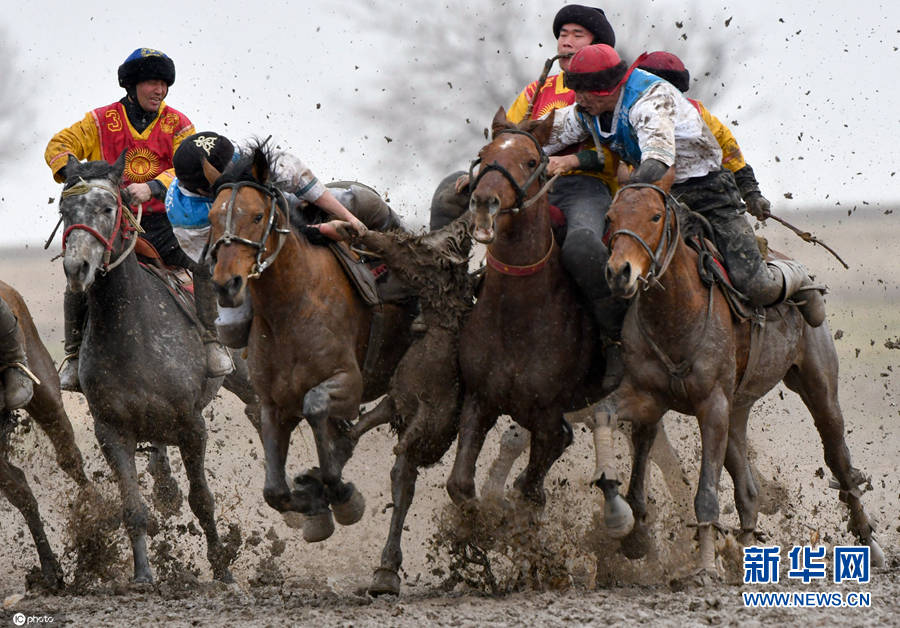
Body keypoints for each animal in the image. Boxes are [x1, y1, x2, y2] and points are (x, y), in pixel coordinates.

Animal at [59, 153, 243, 584]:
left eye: (107, 208)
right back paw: (164, 485)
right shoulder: (111, 431)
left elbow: (202, 500)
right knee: (158, 448)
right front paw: (143, 574)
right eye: (64, 211)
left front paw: (222, 569)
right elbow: (133, 509)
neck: (131, 332)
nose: (77, 268)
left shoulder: (193, 425)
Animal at [206, 141, 414, 540]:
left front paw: (341, 495)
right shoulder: (273, 404)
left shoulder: (349, 382)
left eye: (257, 215)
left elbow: (316, 407)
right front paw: (313, 502)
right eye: (211, 217)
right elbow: (274, 491)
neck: (291, 310)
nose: (226, 285)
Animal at [444, 108, 628, 528]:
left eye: (530, 161)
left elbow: (532, 486)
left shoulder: (547, 417)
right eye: (485, 153)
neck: (518, 316)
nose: (484, 202)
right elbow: (460, 484)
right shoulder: (480, 398)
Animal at [596, 169, 884, 576]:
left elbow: (705, 492)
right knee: (748, 492)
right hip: (738, 409)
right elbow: (607, 418)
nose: (620, 273)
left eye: (654, 216)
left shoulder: (712, 405)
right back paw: (745, 558)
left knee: (839, 461)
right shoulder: (647, 397)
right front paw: (622, 519)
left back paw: (871, 545)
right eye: (610, 217)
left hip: (819, 386)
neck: (676, 311)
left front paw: (705, 568)